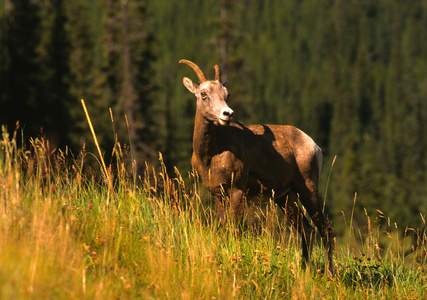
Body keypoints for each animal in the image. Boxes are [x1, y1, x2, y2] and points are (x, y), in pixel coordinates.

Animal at [180, 58, 334, 274]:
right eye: (203, 94)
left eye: (226, 95)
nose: (227, 114)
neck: (211, 155)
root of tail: (314, 146)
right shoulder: (218, 194)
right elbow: (223, 228)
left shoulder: (237, 191)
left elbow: (236, 230)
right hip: (286, 198)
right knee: (306, 229)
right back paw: (304, 271)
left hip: (307, 190)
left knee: (325, 230)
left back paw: (330, 275)